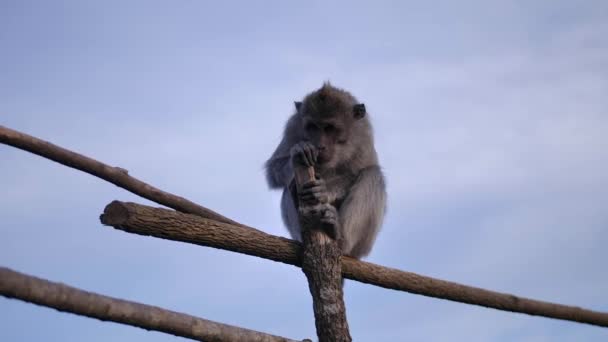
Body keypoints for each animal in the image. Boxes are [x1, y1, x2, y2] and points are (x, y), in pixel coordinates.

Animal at [264, 83, 388, 260]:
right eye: (313, 127)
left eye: (329, 128)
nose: (320, 146)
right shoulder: (293, 126)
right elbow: (274, 168)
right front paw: (299, 151)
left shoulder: (363, 134)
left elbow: (363, 168)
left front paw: (324, 190)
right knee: (288, 187)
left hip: (363, 245)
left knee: (373, 175)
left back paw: (339, 235)